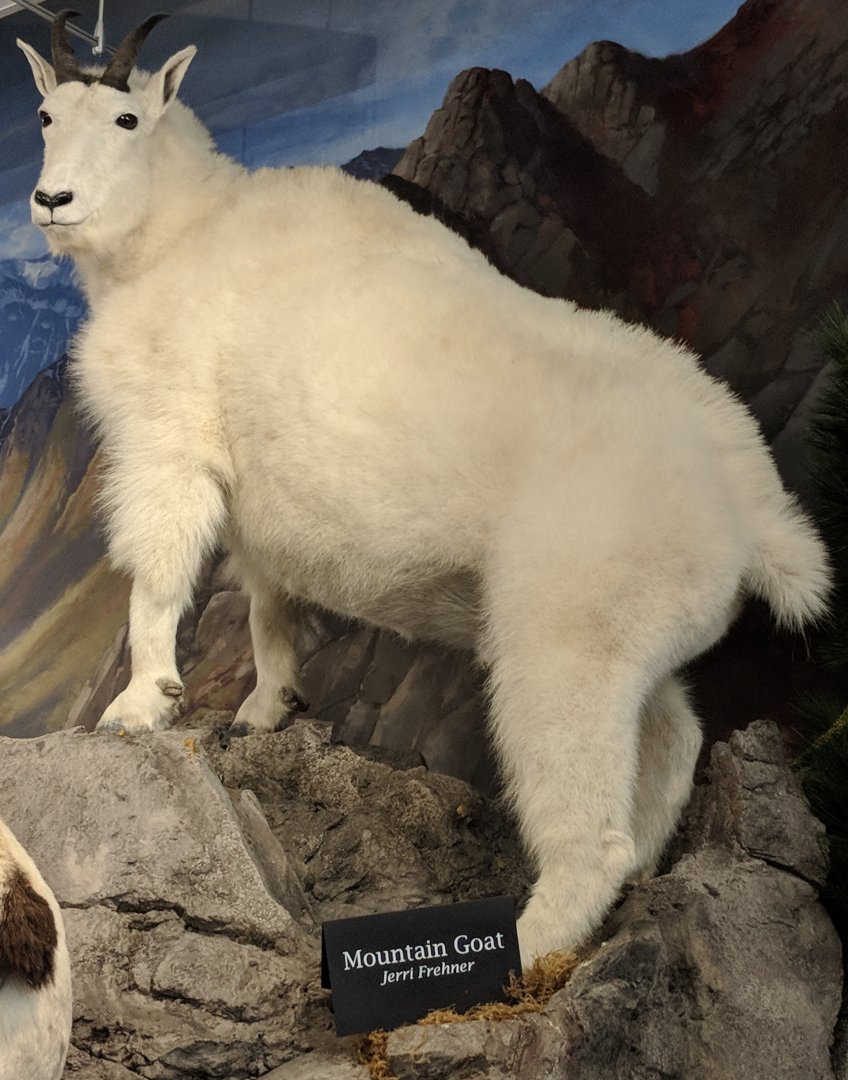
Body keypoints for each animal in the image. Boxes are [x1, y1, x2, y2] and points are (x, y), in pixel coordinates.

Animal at [18, 13, 830, 965]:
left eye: (127, 119)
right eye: (43, 115)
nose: (52, 200)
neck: (179, 232)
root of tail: (757, 510)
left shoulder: (167, 436)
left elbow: (156, 573)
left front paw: (140, 703)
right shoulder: (260, 501)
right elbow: (266, 603)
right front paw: (265, 709)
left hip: (565, 635)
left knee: (587, 818)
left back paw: (525, 949)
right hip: (637, 632)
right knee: (672, 742)